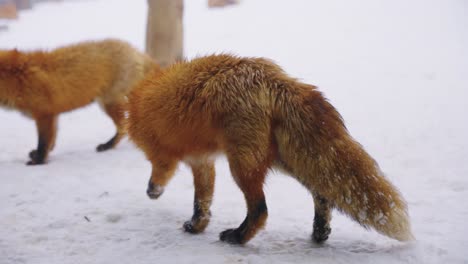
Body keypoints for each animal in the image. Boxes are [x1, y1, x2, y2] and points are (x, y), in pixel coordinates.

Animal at [0, 39, 157, 165]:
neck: (17, 79)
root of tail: (134, 50)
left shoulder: (44, 115)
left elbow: (43, 143)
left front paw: (39, 160)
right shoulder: (53, 114)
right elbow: (51, 141)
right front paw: (43, 155)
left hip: (109, 102)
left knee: (123, 128)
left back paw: (108, 145)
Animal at [127, 54, 414, 245]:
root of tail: (275, 80)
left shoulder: (163, 155)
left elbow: (163, 176)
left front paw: (153, 191)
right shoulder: (202, 161)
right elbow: (202, 201)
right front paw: (197, 225)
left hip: (242, 165)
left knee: (260, 210)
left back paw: (239, 237)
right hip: (282, 159)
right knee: (321, 193)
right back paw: (319, 233)